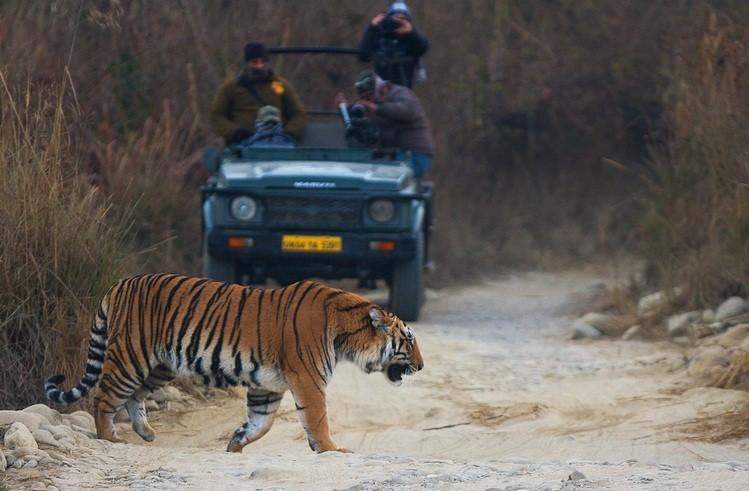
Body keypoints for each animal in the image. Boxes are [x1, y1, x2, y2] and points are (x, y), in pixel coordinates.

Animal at [44, 273, 423, 453]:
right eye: (409, 339)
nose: (420, 366)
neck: (346, 333)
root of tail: (120, 283)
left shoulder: (267, 386)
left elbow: (262, 423)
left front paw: (236, 442)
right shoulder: (308, 379)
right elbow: (317, 418)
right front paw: (332, 449)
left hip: (160, 365)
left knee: (135, 396)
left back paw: (146, 432)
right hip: (130, 356)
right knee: (104, 397)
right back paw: (110, 437)